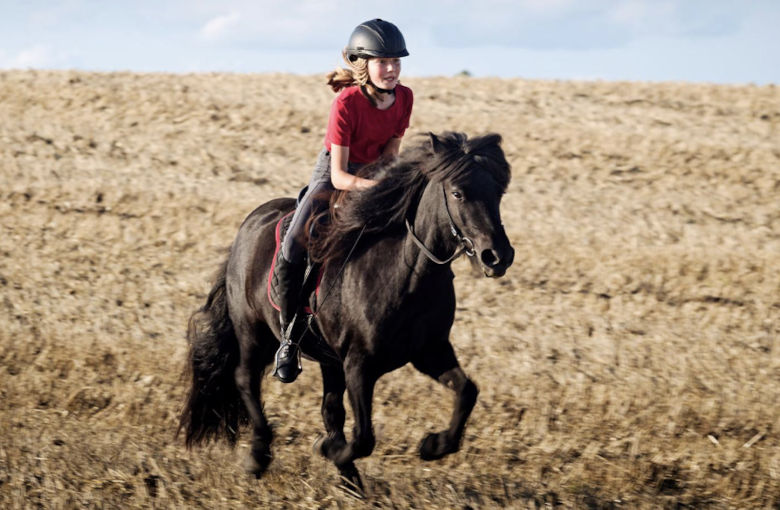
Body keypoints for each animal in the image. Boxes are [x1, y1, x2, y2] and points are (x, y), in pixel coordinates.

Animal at [180, 133, 516, 492]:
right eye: (457, 193)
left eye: (497, 192)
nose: (498, 256)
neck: (407, 272)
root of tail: (250, 224)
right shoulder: (359, 365)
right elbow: (365, 437)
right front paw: (330, 450)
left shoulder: (430, 352)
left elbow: (467, 392)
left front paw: (432, 445)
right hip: (252, 331)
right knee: (245, 378)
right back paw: (259, 455)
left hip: (328, 357)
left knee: (328, 407)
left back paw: (348, 478)